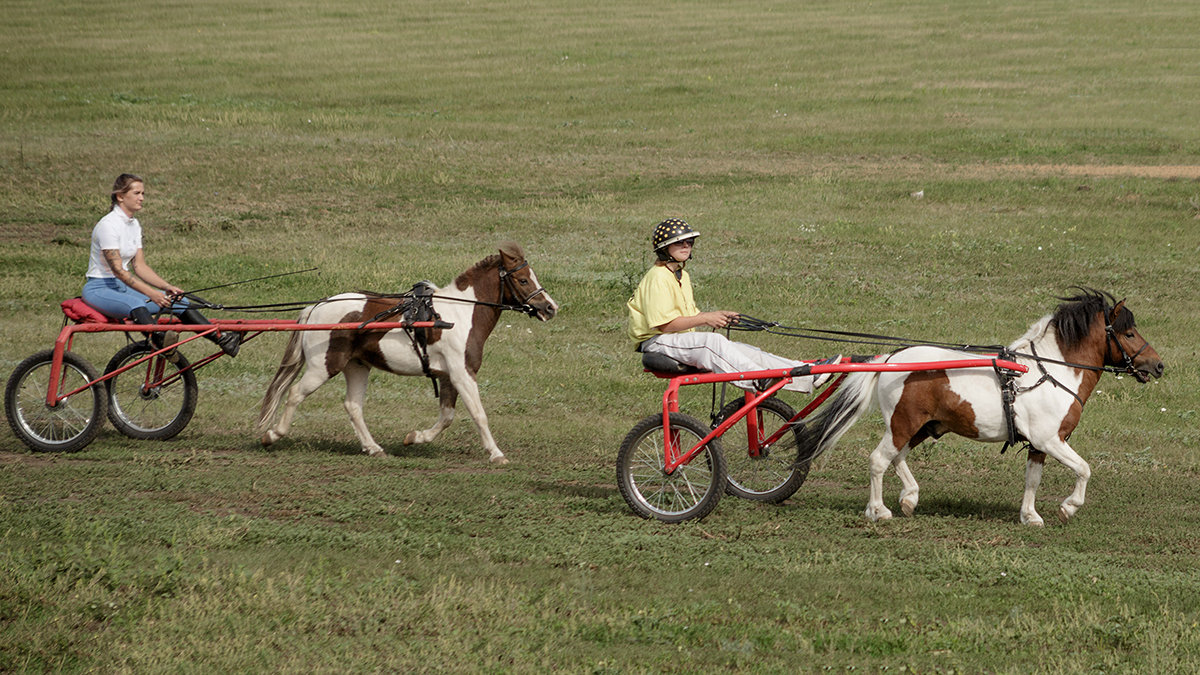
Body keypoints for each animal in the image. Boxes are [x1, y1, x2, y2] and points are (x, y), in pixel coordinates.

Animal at [258, 241, 556, 461]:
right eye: (523, 280)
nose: (550, 307)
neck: (459, 314)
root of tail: (317, 307)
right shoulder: (462, 373)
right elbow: (478, 413)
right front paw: (496, 453)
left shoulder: (448, 375)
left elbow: (447, 417)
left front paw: (415, 437)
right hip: (324, 366)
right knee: (295, 393)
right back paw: (272, 435)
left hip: (357, 366)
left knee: (353, 405)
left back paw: (373, 448)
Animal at [796, 289, 1161, 526]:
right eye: (1129, 333)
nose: (1158, 366)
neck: (1049, 371)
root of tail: (890, 358)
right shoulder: (1050, 439)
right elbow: (1084, 469)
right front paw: (1068, 508)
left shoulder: (1039, 445)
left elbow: (1032, 480)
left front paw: (1030, 516)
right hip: (903, 424)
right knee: (878, 460)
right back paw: (878, 511)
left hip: (922, 427)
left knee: (896, 459)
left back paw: (910, 498)